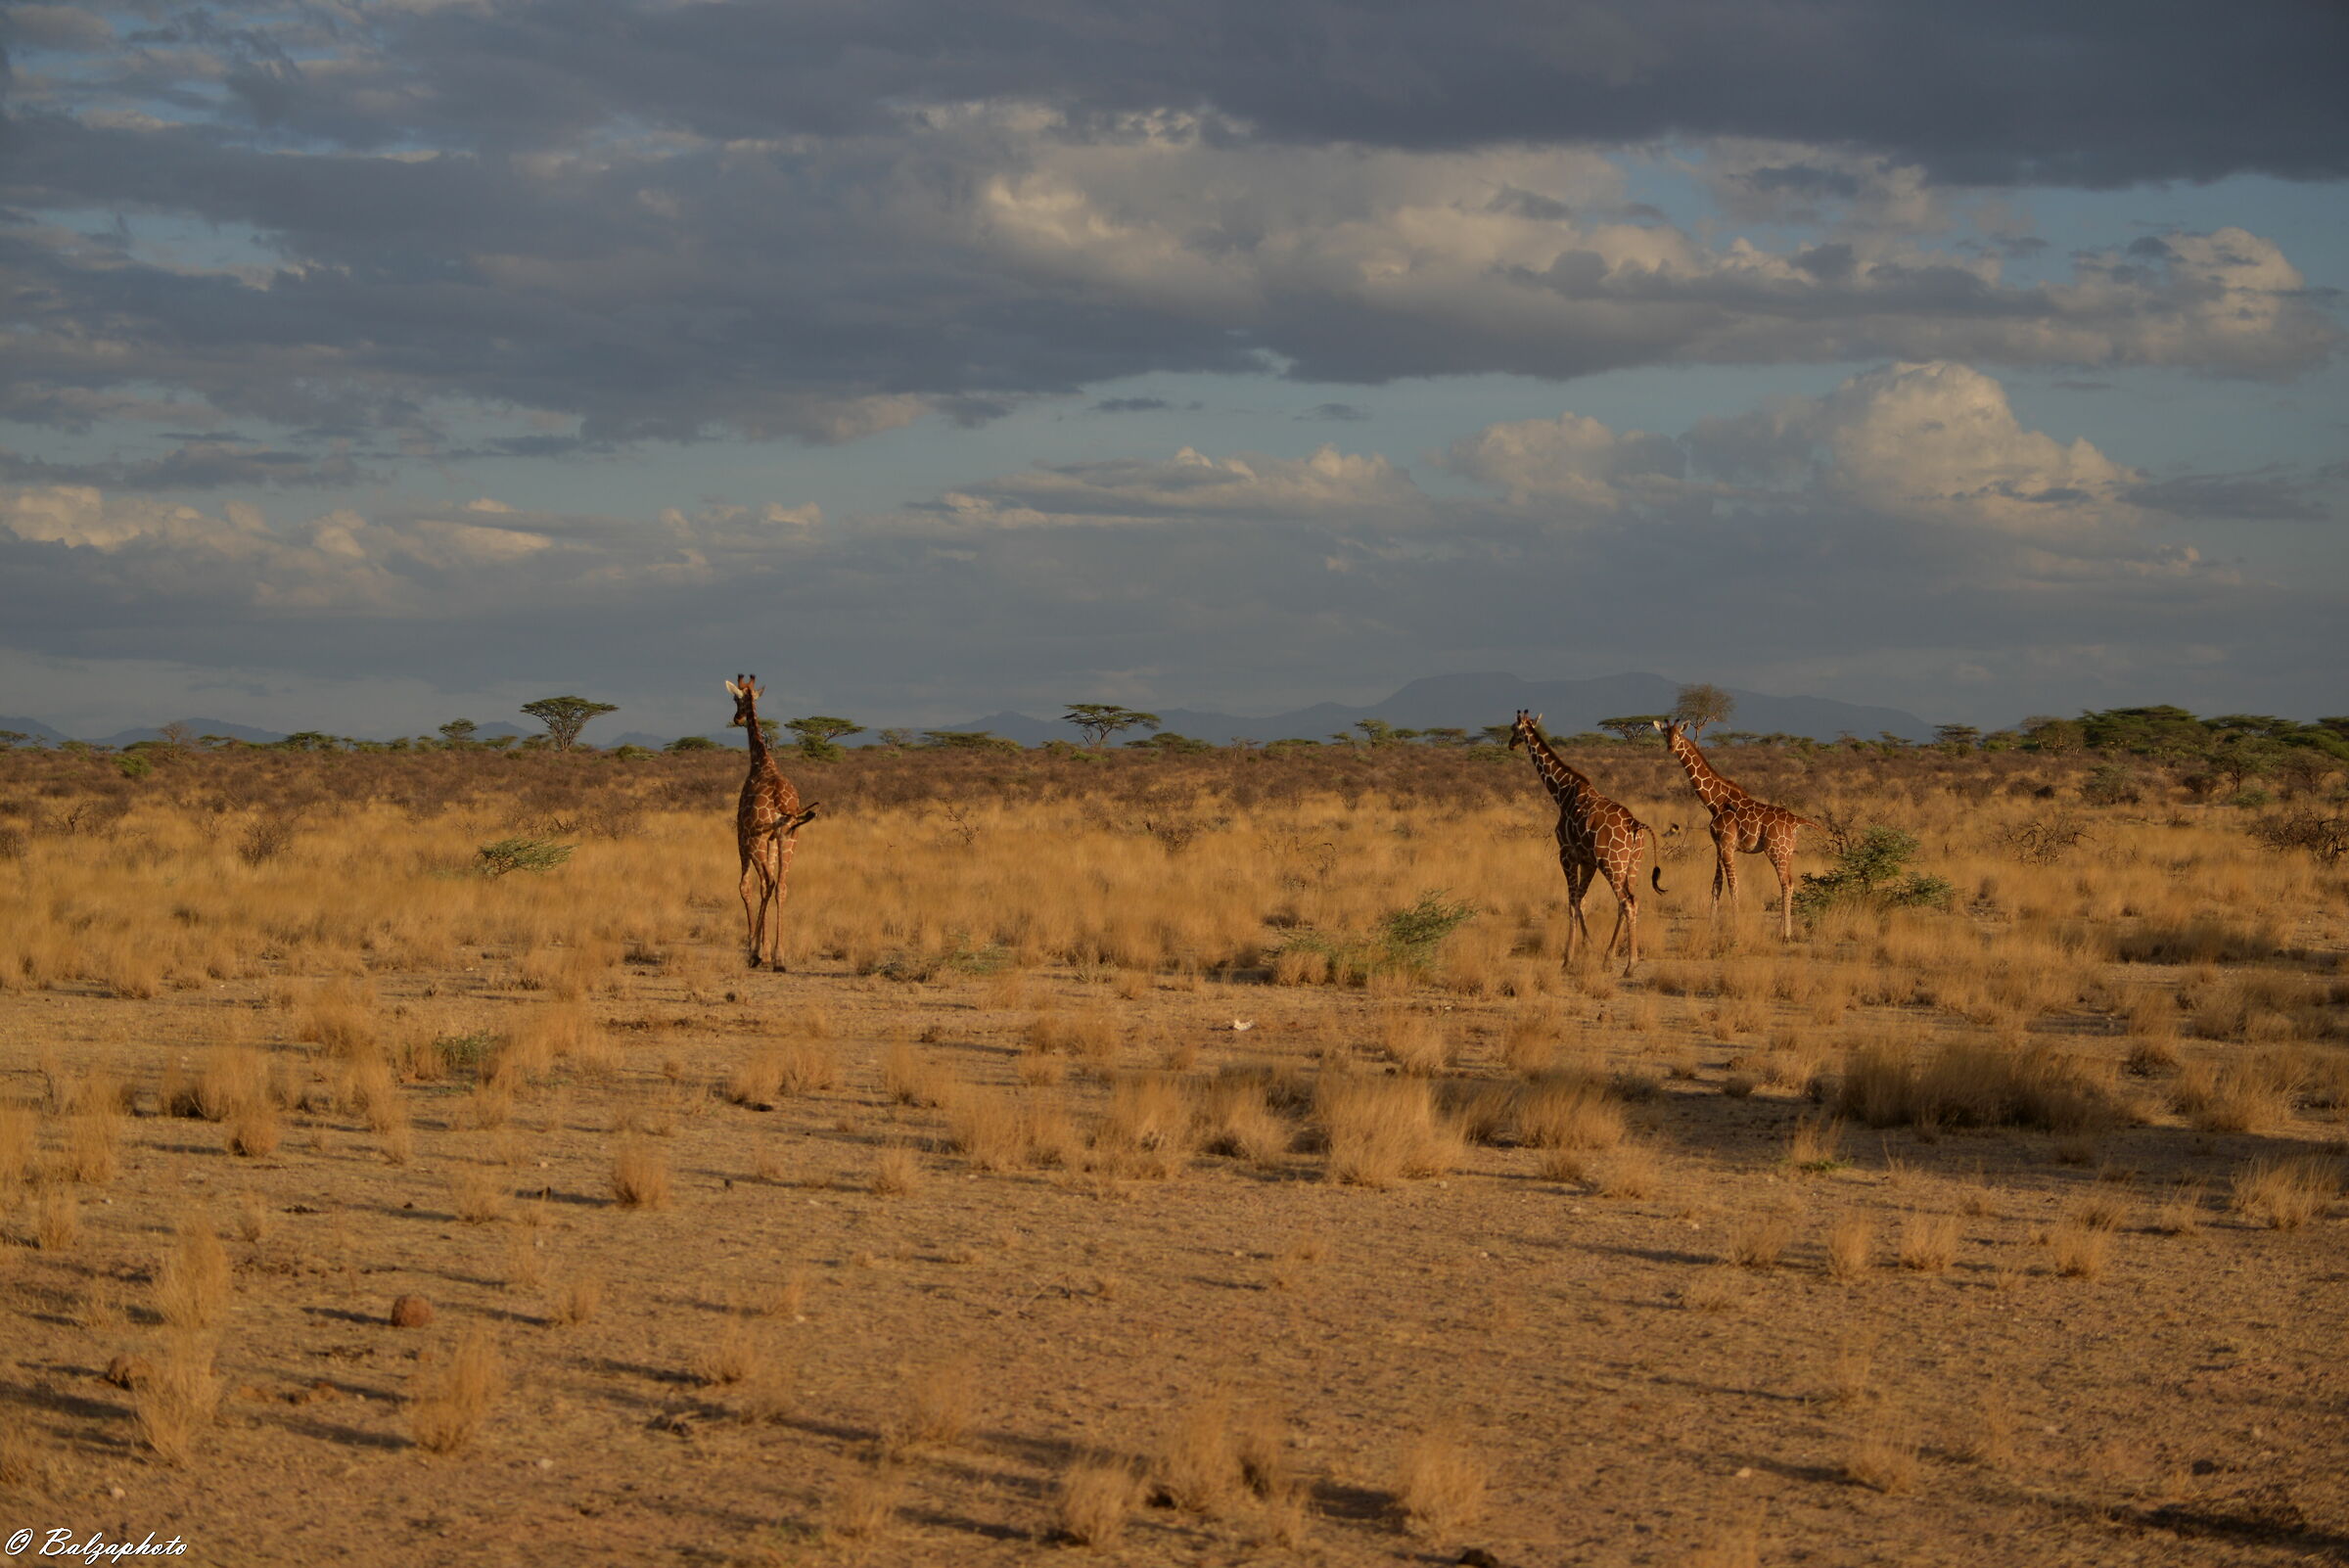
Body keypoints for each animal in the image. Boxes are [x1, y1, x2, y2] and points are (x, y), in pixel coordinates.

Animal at [726, 675, 821, 969]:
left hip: (756, 841)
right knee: (781, 886)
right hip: (789, 838)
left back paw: (755, 952)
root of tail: (783, 804)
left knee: (767, 883)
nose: (737, 719)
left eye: (735, 698)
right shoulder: (772, 839)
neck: (761, 762)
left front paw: (755, 947)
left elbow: (745, 887)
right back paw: (779, 956)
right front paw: (767, 949)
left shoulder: (743, 836)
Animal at [1507, 711, 1665, 975]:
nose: (1510, 744)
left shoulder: (1567, 854)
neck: (1562, 792)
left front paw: (1568, 958)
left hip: (1612, 864)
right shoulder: (1588, 860)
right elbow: (1581, 900)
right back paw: (1610, 958)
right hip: (1632, 864)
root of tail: (1635, 825)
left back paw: (1630, 965)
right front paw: (1589, 946)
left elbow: (1572, 903)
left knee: (1627, 902)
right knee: (1629, 902)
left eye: (1513, 728)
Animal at [1654, 720, 1817, 939]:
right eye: (1665, 734)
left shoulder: (1727, 845)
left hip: (1776, 850)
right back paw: (1781, 928)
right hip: (1788, 852)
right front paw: (1711, 926)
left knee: (1787, 883)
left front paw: (1735, 927)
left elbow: (1733, 885)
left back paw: (1786, 933)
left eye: (1679, 735)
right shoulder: (1718, 846)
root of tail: (1796, 821)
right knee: (1787, 882)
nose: (1671, 747)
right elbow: (1716, 885)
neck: (1715, 802)